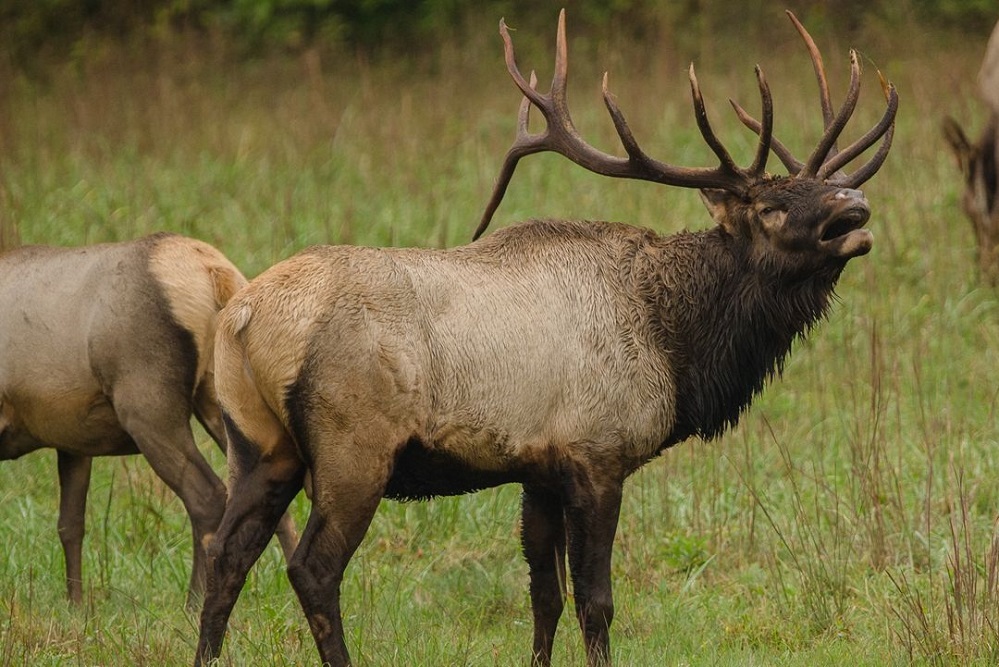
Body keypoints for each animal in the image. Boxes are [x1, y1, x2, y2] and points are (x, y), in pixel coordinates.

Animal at [0, 232, 297, 607]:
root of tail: (215, 272)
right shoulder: (73, 439)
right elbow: (70, 524)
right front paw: (77, 606)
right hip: (222, 398)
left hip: (149, 407)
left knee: (208, 496)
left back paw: (193, 602)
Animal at [194, 10, 896, 666]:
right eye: (771, 209)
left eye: (821, 188)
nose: (854, 206)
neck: (676, 346)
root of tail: (242, 317)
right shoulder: (597, 454)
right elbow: (596, 602)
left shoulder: (537, 469)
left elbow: (544, 598)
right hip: (352, 448)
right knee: (312, 567)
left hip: (259, 444)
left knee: (224, 551)